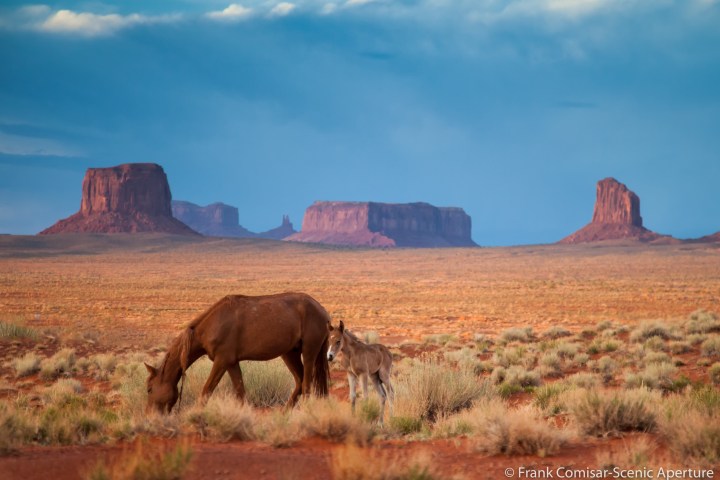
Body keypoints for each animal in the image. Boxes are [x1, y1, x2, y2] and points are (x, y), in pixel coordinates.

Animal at [145, 292, 331, 413]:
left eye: (149, 389)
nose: (149, 415)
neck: (212, 325)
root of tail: (322, 310)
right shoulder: (232, 363)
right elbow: (240, 391)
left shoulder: (221, 361)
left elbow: (207, 390)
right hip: (290, 353)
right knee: (300, 381)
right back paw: (284, 413)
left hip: (309, 352)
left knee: (306, 384)